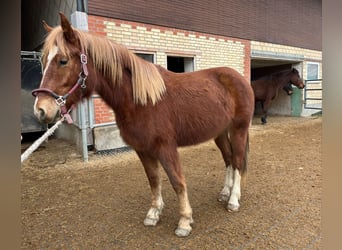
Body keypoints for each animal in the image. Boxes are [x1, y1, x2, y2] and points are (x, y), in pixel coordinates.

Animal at [32, 13, 255, 236]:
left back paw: (233, 200)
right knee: (228, 159)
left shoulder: (166, 147)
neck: (142, 101)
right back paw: (225, 192)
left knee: (237, 160)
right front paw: (154, 214)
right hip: (220, 133)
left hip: (238, 130)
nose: (41, 110)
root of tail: (239, 78)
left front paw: (184, 221)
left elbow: (177, 181)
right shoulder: (142, 149)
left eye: (63, 61)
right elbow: (154, 180)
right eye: (43, 60)